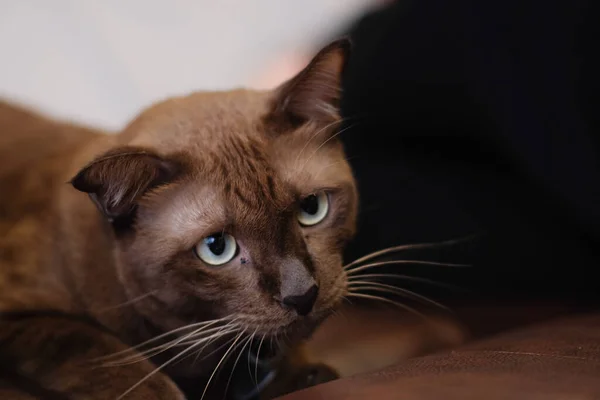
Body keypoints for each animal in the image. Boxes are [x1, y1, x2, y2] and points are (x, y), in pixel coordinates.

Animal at [0, 38, 356, 400]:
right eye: (217, 247)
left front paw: (306, 374)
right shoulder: (23, 319)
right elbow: (103, 351)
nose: (302, 296)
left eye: (311, 208)